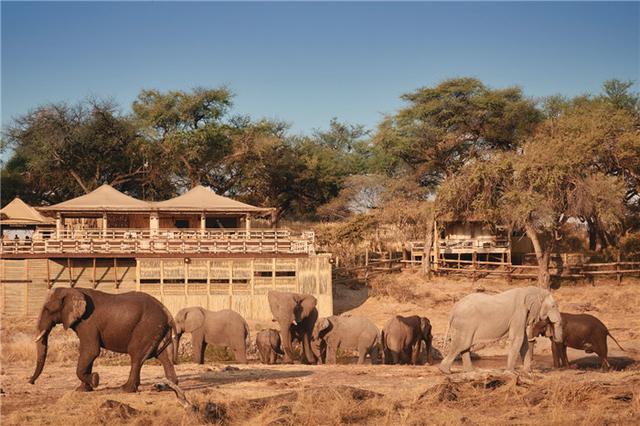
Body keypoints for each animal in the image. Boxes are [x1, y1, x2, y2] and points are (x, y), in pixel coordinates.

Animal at [29, 286, 176, 392]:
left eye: (48, 309)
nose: (31, 382)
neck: (71, 289)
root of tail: (167, 312)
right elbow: (88, 353)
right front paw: (82, 390)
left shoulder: (88, 323)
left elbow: (91, 351)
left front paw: (95, 379)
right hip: (156, 330)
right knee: (163, 357)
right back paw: (169, 387)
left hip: (147, 326)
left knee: (136, 355)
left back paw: (125, 389)